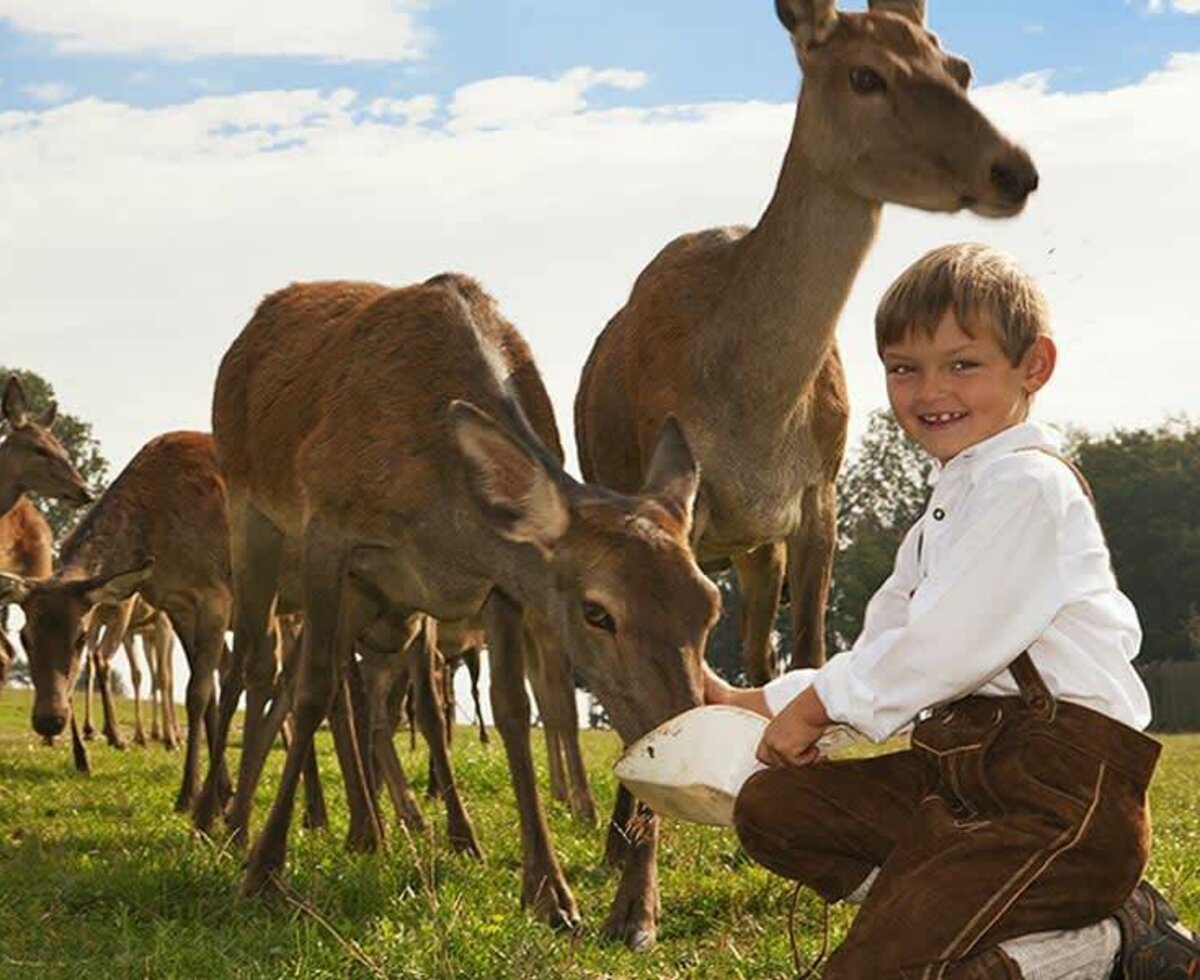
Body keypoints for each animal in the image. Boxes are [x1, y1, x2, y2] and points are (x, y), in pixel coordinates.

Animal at [0, 429, 232, 801]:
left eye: (78, 637)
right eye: (25, 637)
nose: (48, 720)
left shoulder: (213, 595)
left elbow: (194, 691)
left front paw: (189, 794)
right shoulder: (176, 607)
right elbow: (204, 691)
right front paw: (221, 789)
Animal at [211, 273, 715, 940]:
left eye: (708, 606)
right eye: (597, 611)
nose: (689, 743)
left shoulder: (497, 586)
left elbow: (511, 710)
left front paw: (562, 895)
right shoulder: (329, 530)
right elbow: (313, 691)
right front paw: (265, 871)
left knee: (329, 687)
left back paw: (364, 828)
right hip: (253, 523)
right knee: (253, 667)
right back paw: (224, 819)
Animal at [576, 0, 1036, 940]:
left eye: (960, 67)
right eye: (865, 75)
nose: (1014, 169)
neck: (750, 408)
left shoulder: (817, 496)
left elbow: (814, 647)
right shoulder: (665, 503)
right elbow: (649, 683)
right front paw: (633, 910)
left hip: (759, 550)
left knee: (756, 649)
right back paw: (616, 841)